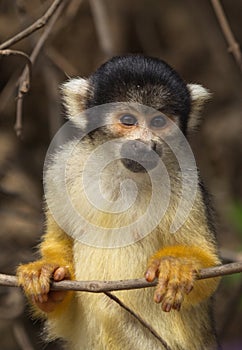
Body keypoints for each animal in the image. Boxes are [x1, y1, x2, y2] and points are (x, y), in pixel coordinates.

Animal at [17, 56, 221, 348]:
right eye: (128, 120)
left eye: (158, 121)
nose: (145, 144)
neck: (122, 173)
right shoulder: (63, 167)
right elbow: (59, 245)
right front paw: (46, 273)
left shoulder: (186, 176)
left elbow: (209, 269)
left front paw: (177, 267)